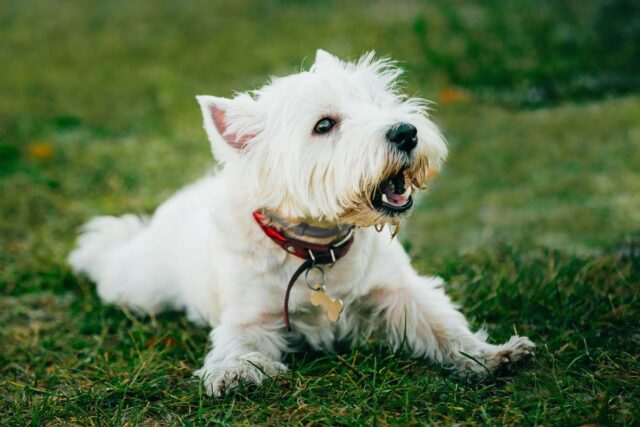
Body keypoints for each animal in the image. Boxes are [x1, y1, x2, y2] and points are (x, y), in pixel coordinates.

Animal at [69, 50, 536, 398]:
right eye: (324, 125)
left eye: (378, 102)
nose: (406, 132)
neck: (317, 248)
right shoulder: (249, 317)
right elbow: (238, 344)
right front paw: (233, 373)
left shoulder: (398, 290)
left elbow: (442, 324)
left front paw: (493, 355)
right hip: (138, 284)